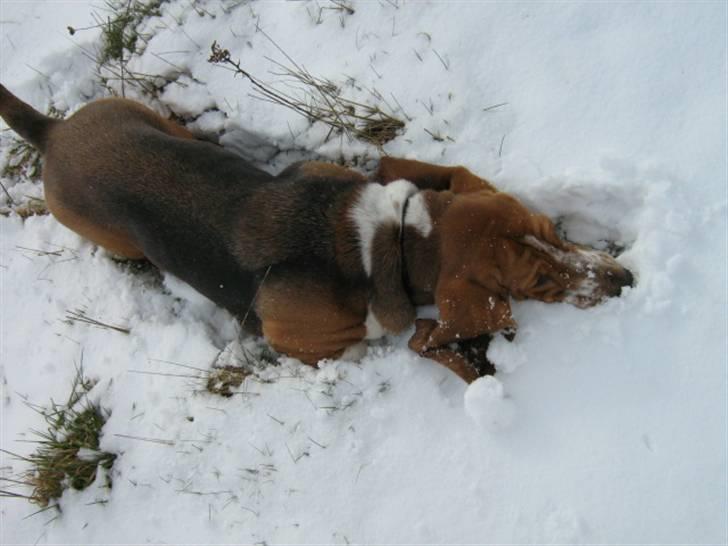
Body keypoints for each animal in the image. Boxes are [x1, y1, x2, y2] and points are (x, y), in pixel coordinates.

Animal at [0, 86, 632, 382]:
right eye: (541, 285)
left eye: (555, 229)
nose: (626, 280)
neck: (394, 244)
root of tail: (53, 134)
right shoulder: (306, 347)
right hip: (115, 238)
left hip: (150, 117)